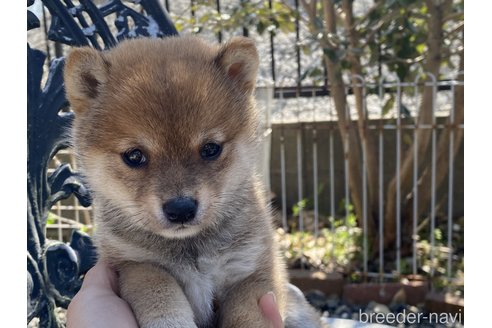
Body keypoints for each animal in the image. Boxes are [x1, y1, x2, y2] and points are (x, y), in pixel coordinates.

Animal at [63, 36, 320, 328]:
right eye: (134, 156)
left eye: (210, 149)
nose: (181, 209)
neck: (191, 248)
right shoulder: (134, 264)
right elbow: (158, 290)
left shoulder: (253, 273)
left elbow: (245, 313)